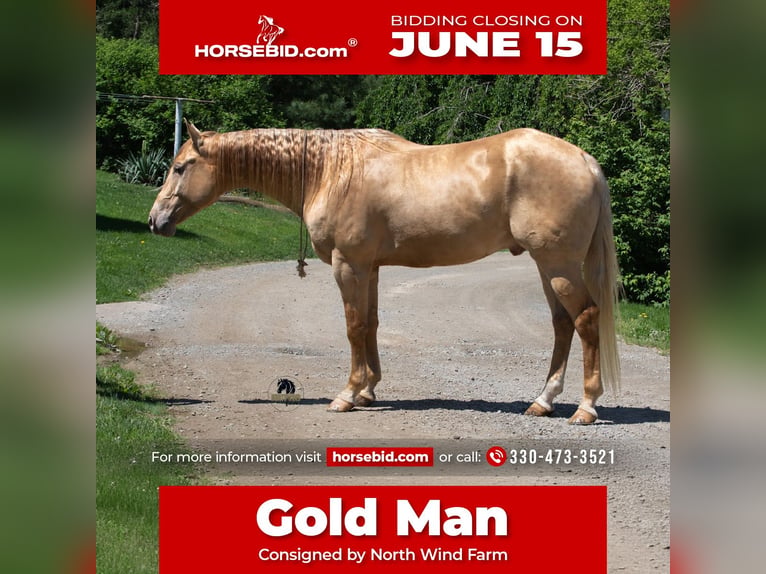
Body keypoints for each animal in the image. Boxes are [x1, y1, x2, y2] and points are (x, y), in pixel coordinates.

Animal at [149, 121, 621, 425]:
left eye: (179, 167)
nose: (155, 221)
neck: (329, 171)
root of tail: (585, 160)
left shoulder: (349, 265)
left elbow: (354, 327)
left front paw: (347, 395)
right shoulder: (370, 269)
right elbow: (371, 324)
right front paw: (368, 390)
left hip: (558, 266)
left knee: (585, 319)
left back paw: (585, 407)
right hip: (547, 266)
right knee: (562, 325)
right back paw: (543, 401)